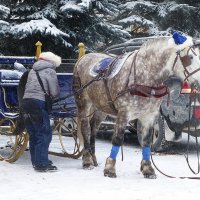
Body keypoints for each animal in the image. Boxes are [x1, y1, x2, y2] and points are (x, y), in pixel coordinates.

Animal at [72, 32, 200, 178]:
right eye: (190, 57)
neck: (144, 76)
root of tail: (82, 59)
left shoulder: (149, 116)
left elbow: (146, 141)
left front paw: (148, 169)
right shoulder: (124, 113)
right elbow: (117, 139)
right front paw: (110, 169)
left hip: (101, 108)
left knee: (93, 129)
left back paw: (93, 159)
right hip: (84, 104)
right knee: (85, 128)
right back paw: (87, 161)